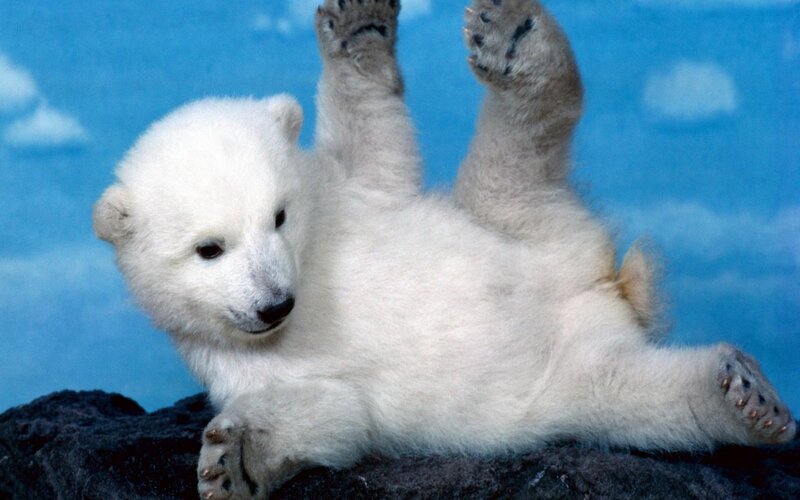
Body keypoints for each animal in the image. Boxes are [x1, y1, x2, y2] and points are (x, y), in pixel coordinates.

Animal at [93, 0, 795, 498]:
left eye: (280, 216)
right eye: (209, 249)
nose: (276, 304)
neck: (310, 271)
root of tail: (601, 287)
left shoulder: (351, 197)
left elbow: (377, 145)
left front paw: (358, 25)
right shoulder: (237, 360)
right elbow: (329, 411)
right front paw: (234, 461)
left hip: (512, 223)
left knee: (519, 146)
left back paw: (514, 36)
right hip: (571, 372)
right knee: (647, 399)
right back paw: (744, 398)